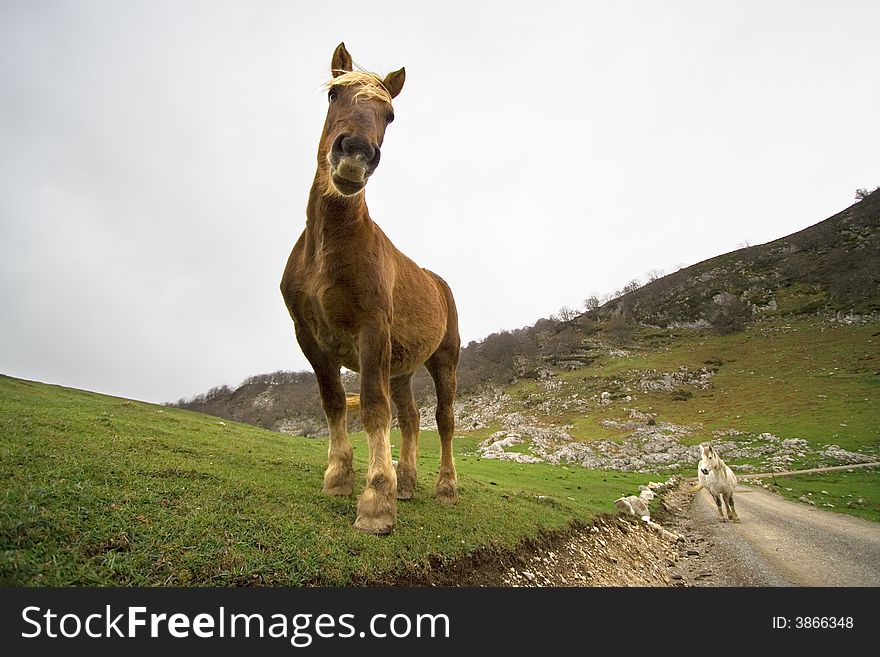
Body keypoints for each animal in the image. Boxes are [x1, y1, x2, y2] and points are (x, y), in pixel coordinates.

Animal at [280, 42, 460, 532]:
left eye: (390, 114)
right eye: (334, 94)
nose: (356, 153)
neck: (330, 250)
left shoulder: (371, 332)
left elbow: (375, 410)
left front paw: (377, 500)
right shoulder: (310, 338)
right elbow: (334, 403)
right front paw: (339, 478)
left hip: (443, 361)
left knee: (443, 420)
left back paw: (445, 488)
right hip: (402, 366)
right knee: (412, 418)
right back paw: (410, 483)